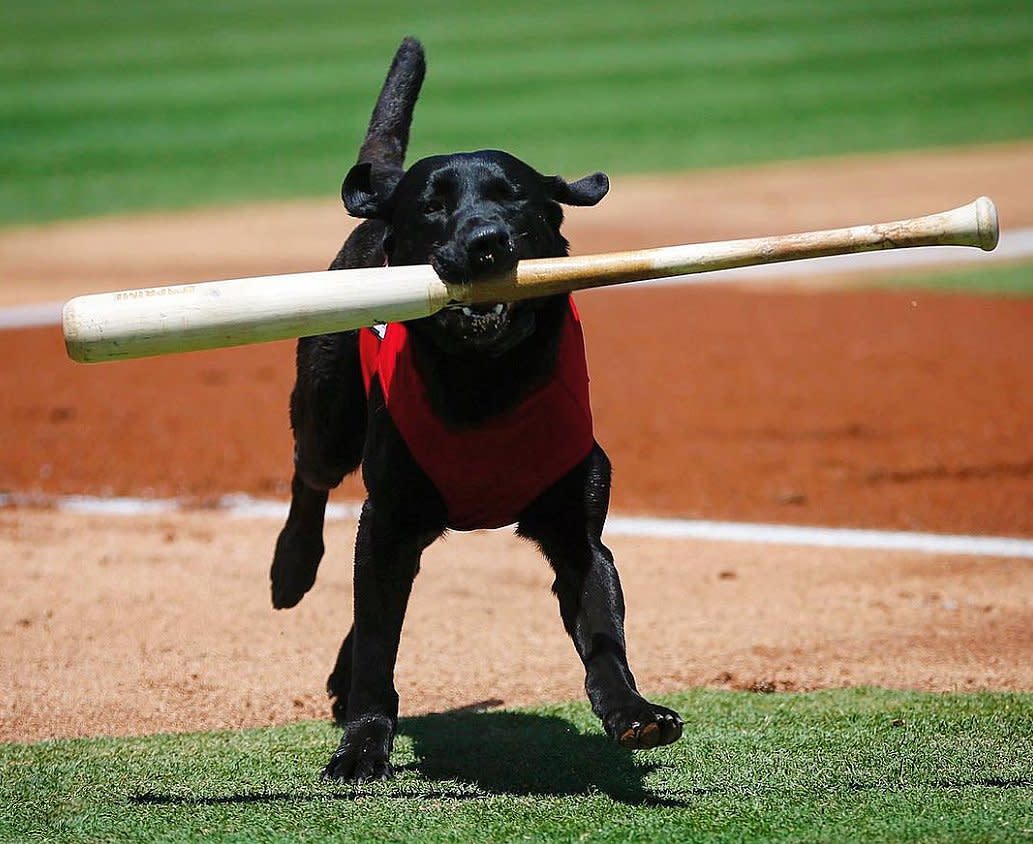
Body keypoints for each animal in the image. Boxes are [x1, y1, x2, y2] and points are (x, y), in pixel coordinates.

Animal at [270, 37, 681, 776]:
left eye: (513, 197)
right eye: (432, 207)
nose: (486, 240)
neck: (485, 382)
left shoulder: (577, 535)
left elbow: (603, 633)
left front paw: (633, 712)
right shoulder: (388, 521)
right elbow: (379, 642)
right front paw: (364, 742)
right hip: (329, 411)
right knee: (309, 476)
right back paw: (291, 568)